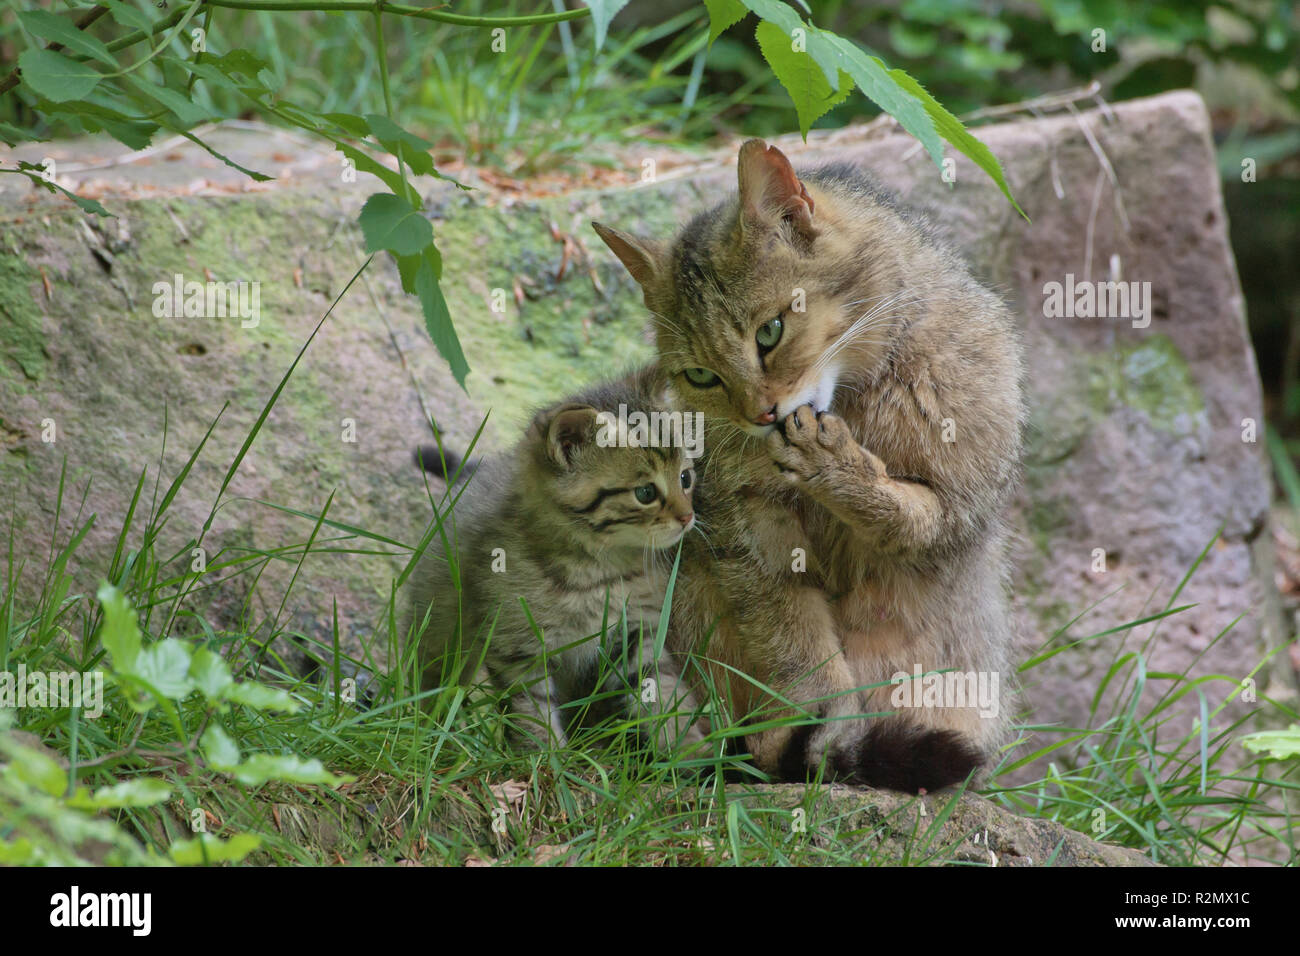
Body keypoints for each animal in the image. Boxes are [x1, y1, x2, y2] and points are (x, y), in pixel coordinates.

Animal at [405, 369, 712, 759]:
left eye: (685, 478)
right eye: (645, 493)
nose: (688, 517)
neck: (598, 571)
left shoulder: (637, 630)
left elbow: (662, 692)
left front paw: (688, 755)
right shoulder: (518, 644)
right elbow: (532, 709)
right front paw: (545, 759)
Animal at [592, 136, 1024, 790]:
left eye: (770, 331)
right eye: (701, 377)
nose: (760, 415)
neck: (853, 398)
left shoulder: (956, 507)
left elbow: (900, 511)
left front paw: (841, 469)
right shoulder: (749, 534)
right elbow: (797, 647)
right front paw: (815, 726)